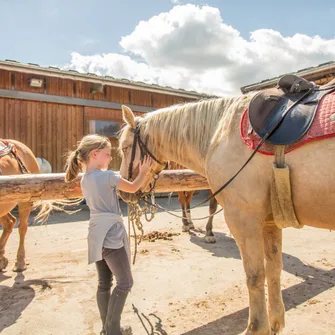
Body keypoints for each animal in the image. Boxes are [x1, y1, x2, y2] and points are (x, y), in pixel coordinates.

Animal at [117, 78, 335, 335]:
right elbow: (273, 269)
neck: (220, 132)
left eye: (124, 147)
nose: (122, 191)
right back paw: (187, 224)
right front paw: (274, 324)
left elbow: (256, 274)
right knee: (184, 200)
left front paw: (258, 327)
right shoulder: (269, 219)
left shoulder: (245, 217)